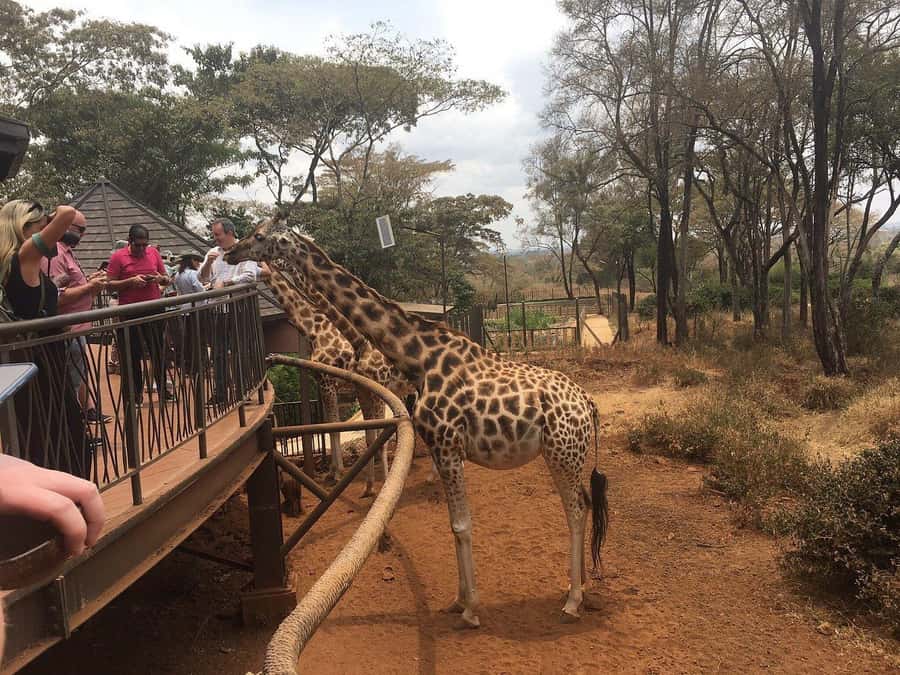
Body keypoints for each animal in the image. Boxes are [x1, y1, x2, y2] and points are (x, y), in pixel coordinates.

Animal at [227, 219, 609, 626]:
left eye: (259, 236)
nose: (231, 253)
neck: (421, 358)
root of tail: (588, 403)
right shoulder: (438, 443)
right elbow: (452, 524)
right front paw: (457, 601)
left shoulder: (446, 443)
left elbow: (461, 524)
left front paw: (470, 610)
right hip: (562, 454)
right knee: (581, 505)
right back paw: (577, 587)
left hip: (562, 453)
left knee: (576, 509)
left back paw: (573, 600)